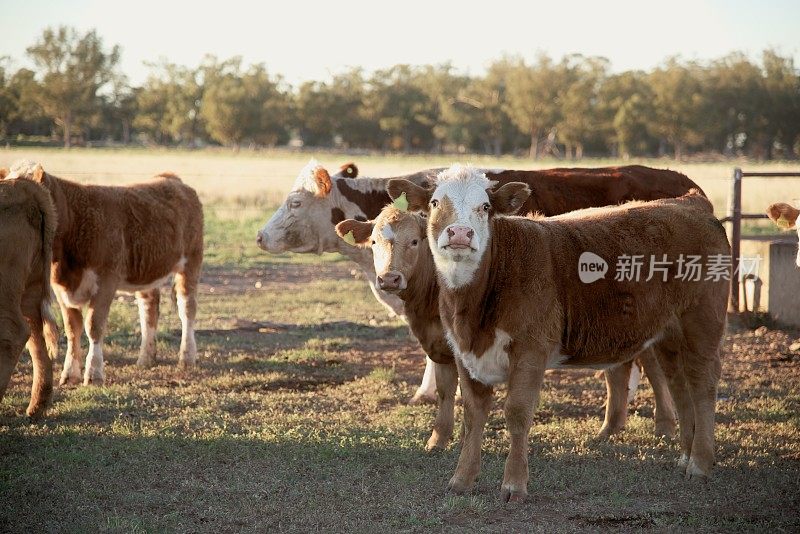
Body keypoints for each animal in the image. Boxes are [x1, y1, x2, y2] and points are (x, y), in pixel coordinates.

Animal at [4, 161, 205, 388]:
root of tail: (171, 178)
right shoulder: (61, 290)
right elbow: (72, 329)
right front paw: (69, 374)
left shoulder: (106, 281)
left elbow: (94, 326)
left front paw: (94, 373)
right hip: (147, 272)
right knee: (149, 308)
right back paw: (146, 358)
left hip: (191, 262)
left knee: (187, 309)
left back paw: (187, 357)